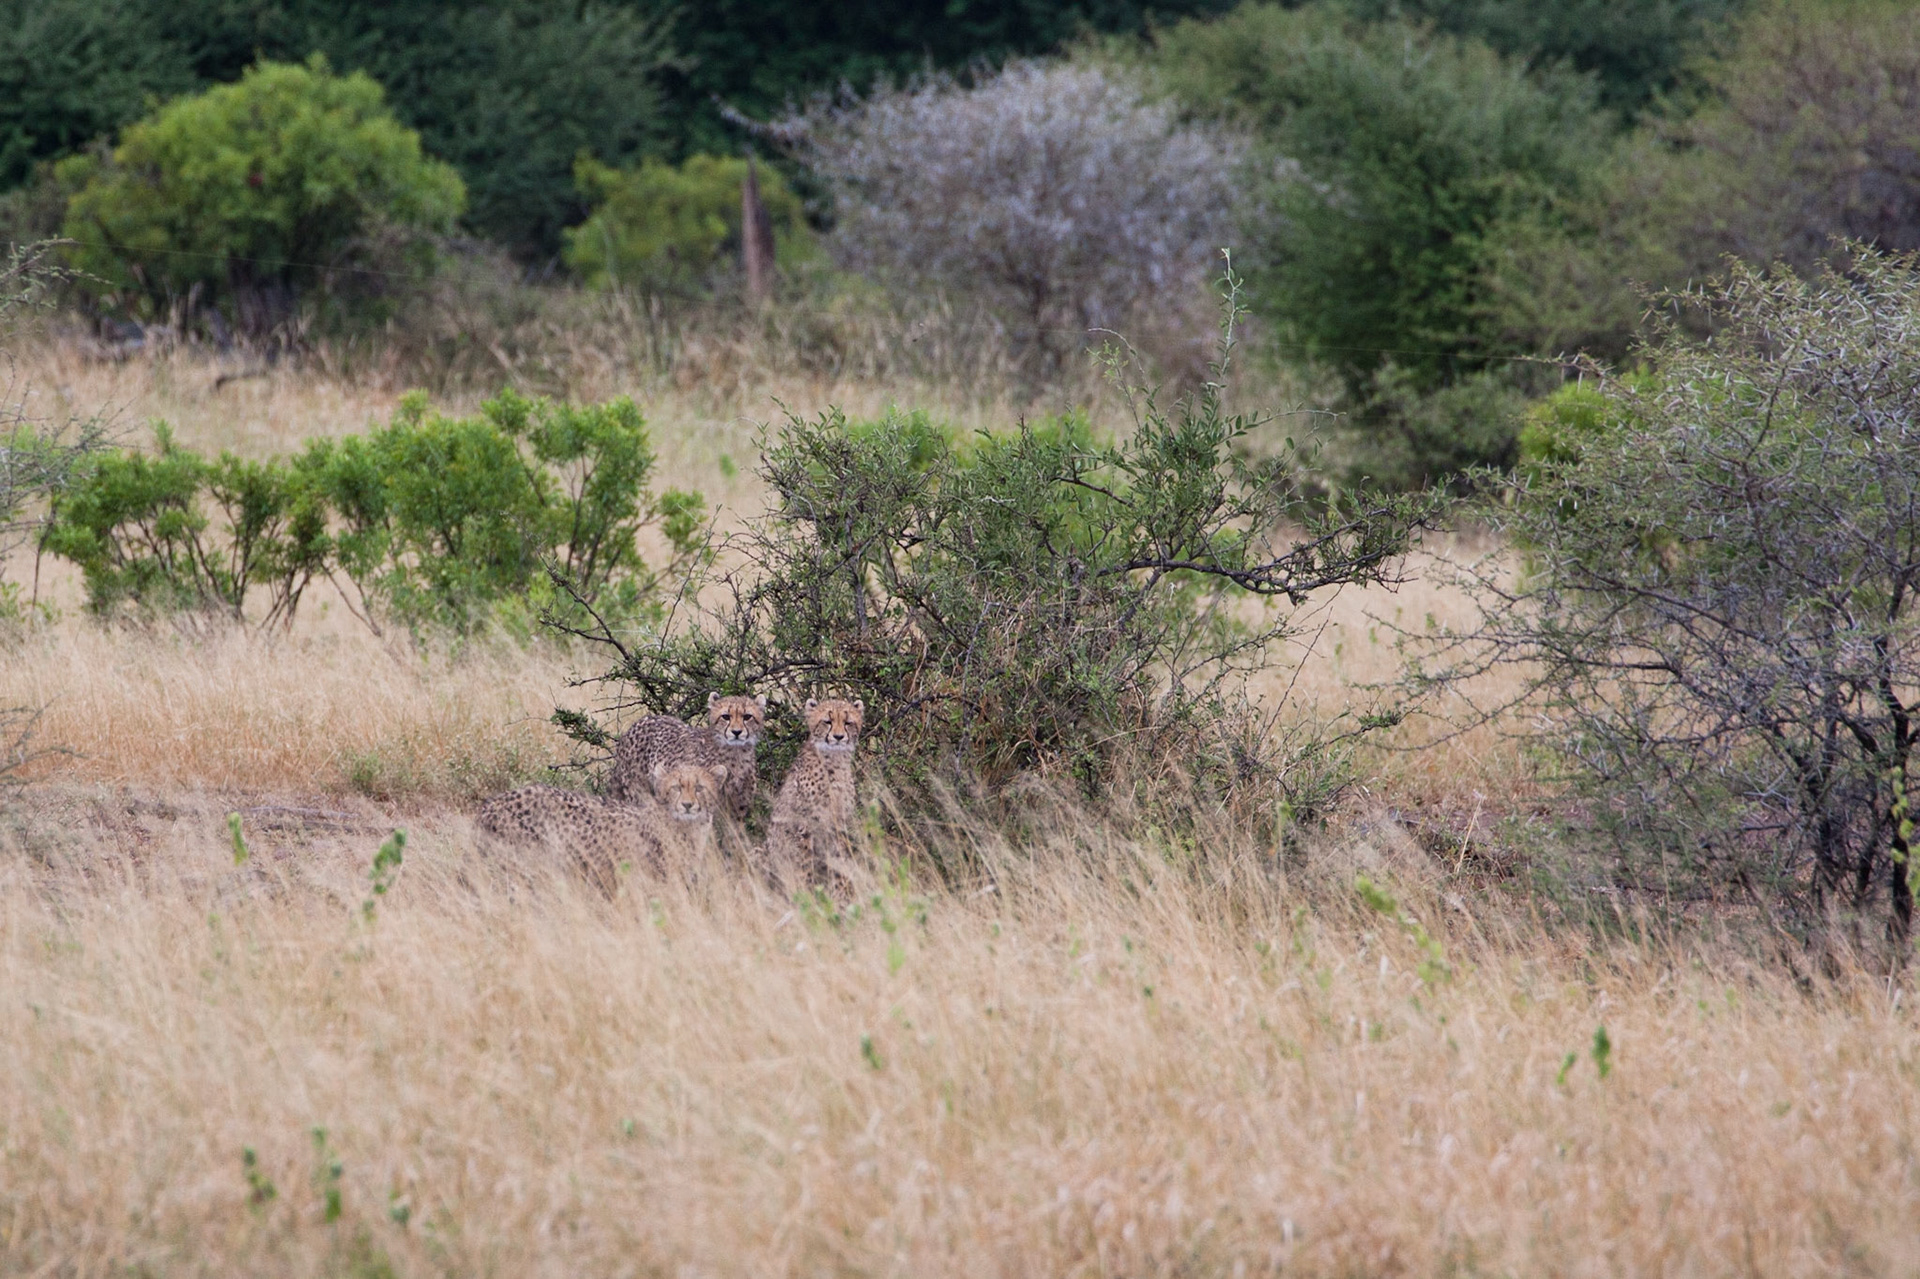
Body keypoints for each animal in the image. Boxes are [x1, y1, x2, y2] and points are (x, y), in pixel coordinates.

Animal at [607, 693, 765, 826]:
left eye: (747, 716)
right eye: (725, 716)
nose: (736, 732)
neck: (736, 754)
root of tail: (641, 721)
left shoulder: (738, 809)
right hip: (638, 794)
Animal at [763, 697, 867, 893]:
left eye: (848, 722)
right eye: (827, 721)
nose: (838, 737)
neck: (835, 761)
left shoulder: (839, 823)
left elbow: (839, 860)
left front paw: (840, 893)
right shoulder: (805, 824)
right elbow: (805, 865)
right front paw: (808, 892)